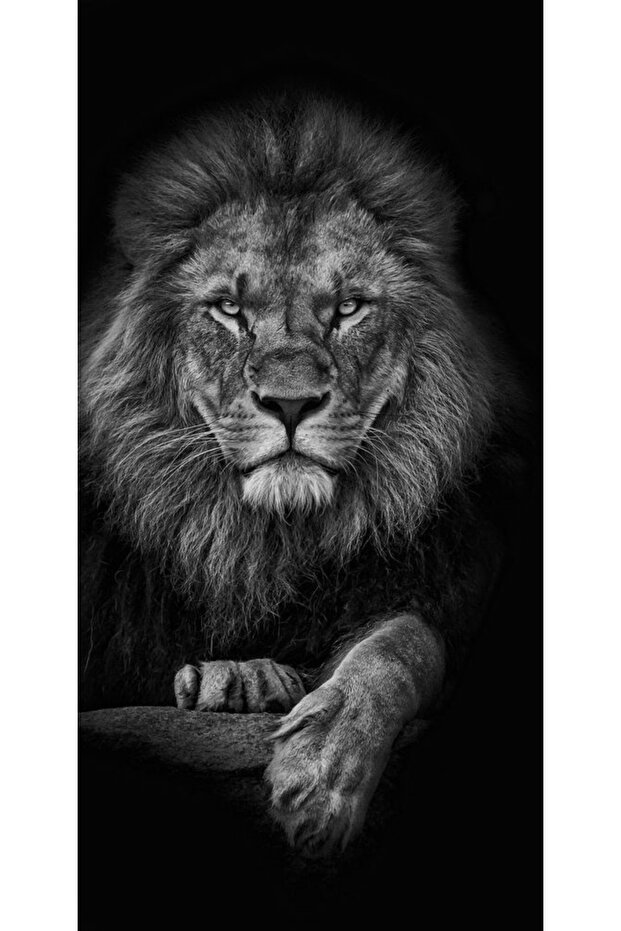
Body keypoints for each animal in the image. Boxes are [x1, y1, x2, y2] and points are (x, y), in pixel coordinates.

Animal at [80, 93, 524, 857]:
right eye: (229, 309)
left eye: (347, 308)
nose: (289, 403)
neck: (266, 541)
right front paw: (238, 679)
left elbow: (401, 644)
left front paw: (322, 773)